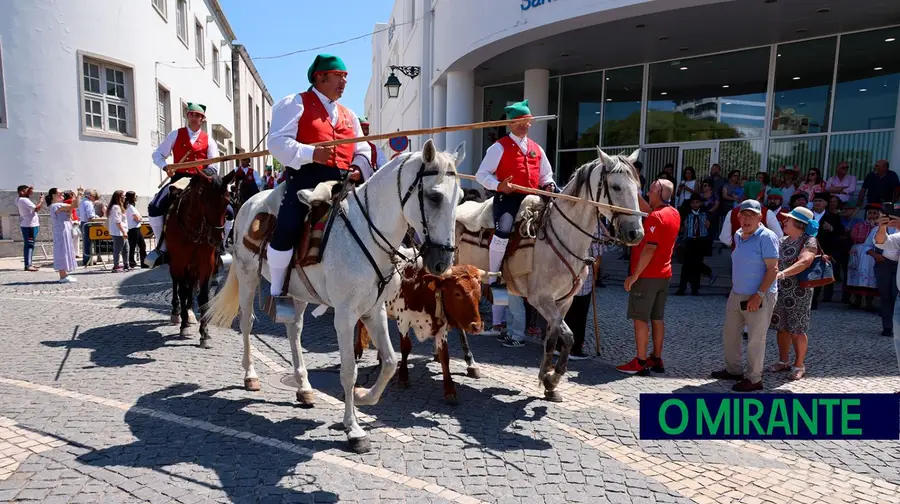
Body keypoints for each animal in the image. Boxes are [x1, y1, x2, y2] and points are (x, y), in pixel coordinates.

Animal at [166, 169, 234, 346]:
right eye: (205, 200)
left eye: (226, 201)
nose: (216, 239)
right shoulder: (179, 262)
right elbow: (182, 292)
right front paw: (184, 326)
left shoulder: (206, 264)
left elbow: (203, 297)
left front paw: (204, 333)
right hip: (176, 265)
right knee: (177, 285)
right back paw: (177, 312)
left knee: (191, 286)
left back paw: (190, 312)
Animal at [206, 139, 464, 452]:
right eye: (434, 197)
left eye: (461, 197)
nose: (442, 263)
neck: (366, 233)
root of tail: (248, 204)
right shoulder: (345, 316)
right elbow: (349, 370)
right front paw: (353, 428)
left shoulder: (374, 310)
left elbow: (390, 362)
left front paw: (364, 397)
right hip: (247, 277)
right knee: (246, 324)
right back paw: (250, 375)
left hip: (298, 292)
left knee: (294, 331)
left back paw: (304, 387)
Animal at [356, 262, 488, 404]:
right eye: (457, 293)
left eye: (479, 292)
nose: (477, 326)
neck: (422, 289)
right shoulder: (403, 320)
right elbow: (406, 348)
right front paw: (403, 376)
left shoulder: (441, 326)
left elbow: (444, 355)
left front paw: (450, 390)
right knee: (359, 323)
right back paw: (357, 350)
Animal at [458, 148, 648, 400]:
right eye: (616, 187)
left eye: (637, 187)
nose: (636, 233)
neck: (561, 237)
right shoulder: (541, 300)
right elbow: (568, 336)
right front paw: (553, 377)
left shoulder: (563, 302)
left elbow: (553, 338)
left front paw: (547, 380)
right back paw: (468, 362)